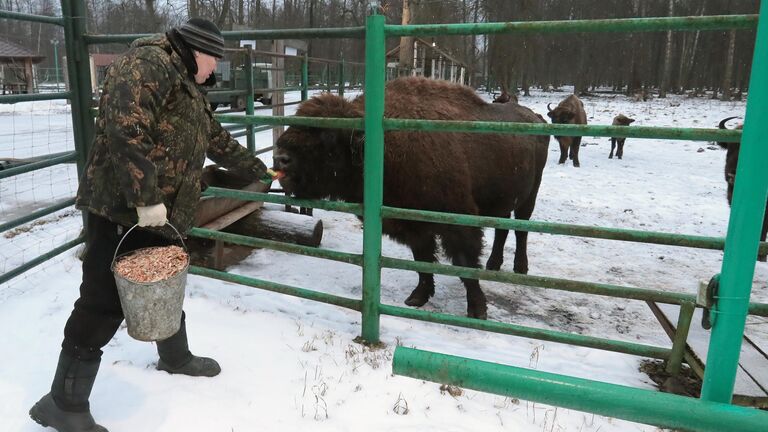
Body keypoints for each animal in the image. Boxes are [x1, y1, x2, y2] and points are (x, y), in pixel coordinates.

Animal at [272, 76, 548, 318]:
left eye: (328, 136)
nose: (280, 158)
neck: (384, 146)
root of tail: (535, 118)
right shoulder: (413, 226)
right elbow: (422, 262)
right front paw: (417, 298)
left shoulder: (458, 223)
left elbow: (464, 264)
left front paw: (477, 310)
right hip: (505, 201)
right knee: (503, 229)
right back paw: (494, 264)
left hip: (529, 197)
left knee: (521, 230)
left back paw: (520, 268)